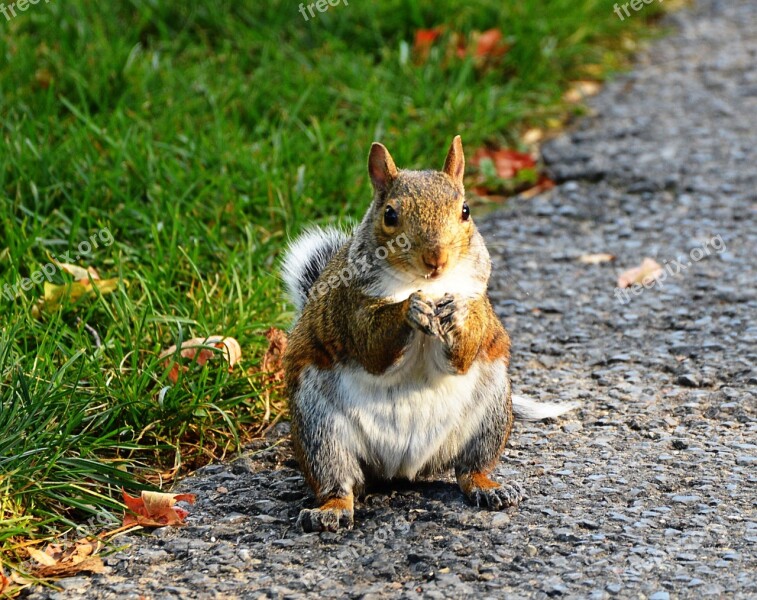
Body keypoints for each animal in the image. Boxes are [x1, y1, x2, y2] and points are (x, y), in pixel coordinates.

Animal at [280, 137, 576, 536]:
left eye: (466, 210)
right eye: (390, 215)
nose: (436, 259)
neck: (427, 285)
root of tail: (401, 469)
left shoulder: (478, 299)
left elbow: (463, 352)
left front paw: (457, 314)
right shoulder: (351, 308)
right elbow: (371, 346)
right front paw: (410, 307)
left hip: (491, 412)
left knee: (469, 469)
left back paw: (489, 487)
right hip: (319, 427)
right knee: (337, 480)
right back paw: (331, 509)